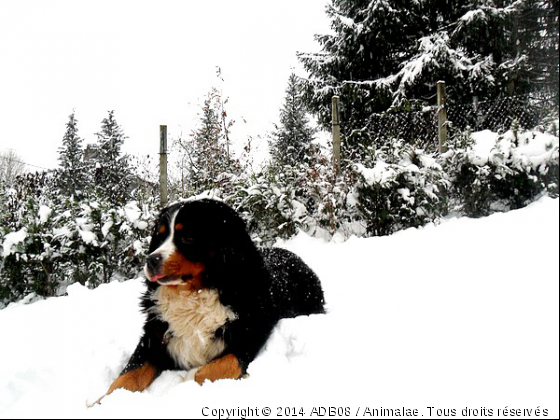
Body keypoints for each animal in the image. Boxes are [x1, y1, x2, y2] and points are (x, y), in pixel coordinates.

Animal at [98, 199, 322, 398]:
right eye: (160, 237)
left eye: (187, 237)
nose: (151, 260)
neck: (194, 294)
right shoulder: (154, 337)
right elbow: (126, 378)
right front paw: (101, 403)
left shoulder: (248, 335)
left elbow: (212, 370)